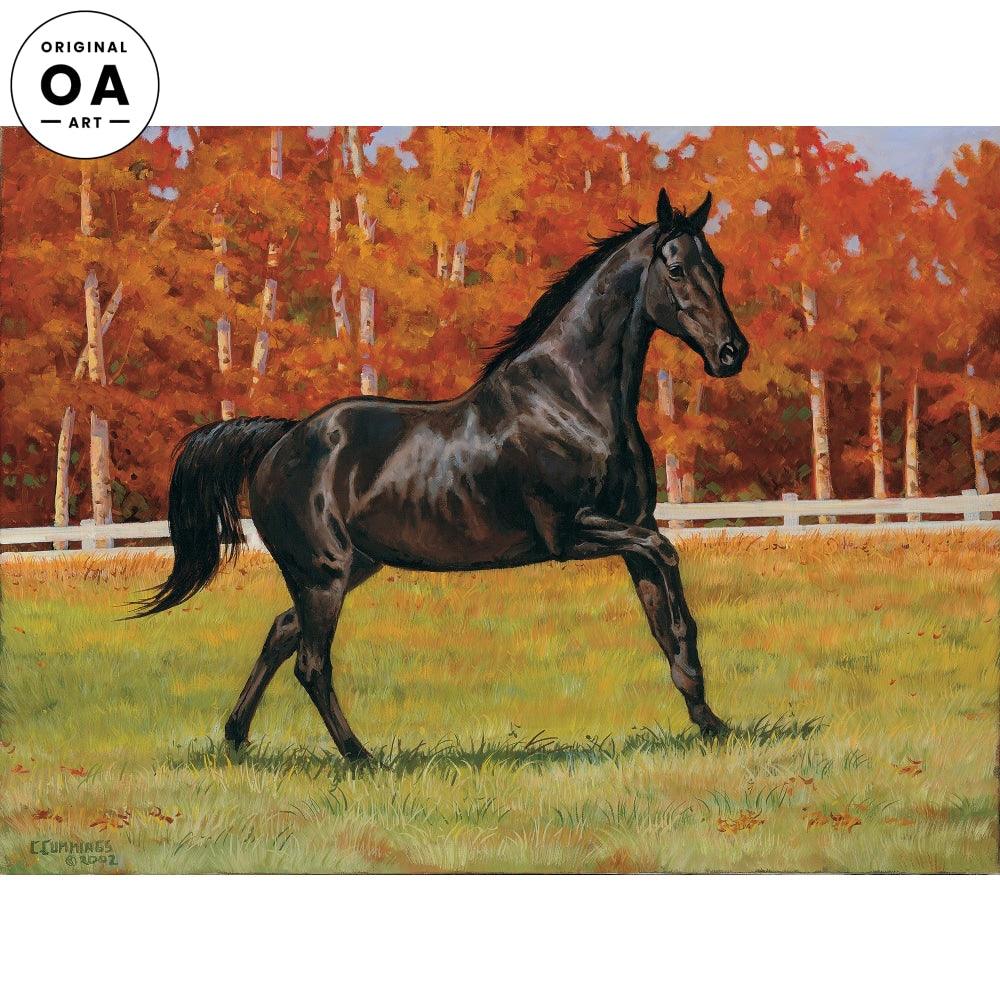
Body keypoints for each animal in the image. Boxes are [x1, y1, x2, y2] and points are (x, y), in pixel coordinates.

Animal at [134, 187, 749, 761]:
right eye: (675, 267)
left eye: (717, 267)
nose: (732, 352)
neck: (571, 400)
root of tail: (280, 440)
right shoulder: (572, 532)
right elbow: (668, 560)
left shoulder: (631, 528)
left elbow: (663, 619)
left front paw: (711, 721)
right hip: (323, 574)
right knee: (310, 662)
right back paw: (359, 757)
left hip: (348, 568)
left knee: (282, 633)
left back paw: (237, 738)